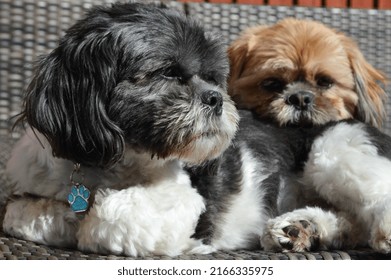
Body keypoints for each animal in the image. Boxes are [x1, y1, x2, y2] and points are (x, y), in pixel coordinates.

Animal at [2, 2, 391, 256]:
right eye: (169, 72)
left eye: (213, 78)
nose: (215, 97)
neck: (108, 166)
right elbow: (23, 213)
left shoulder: (181, 201)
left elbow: (105, 215)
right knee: (351, 223)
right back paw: (300, 228)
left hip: (335, 149)